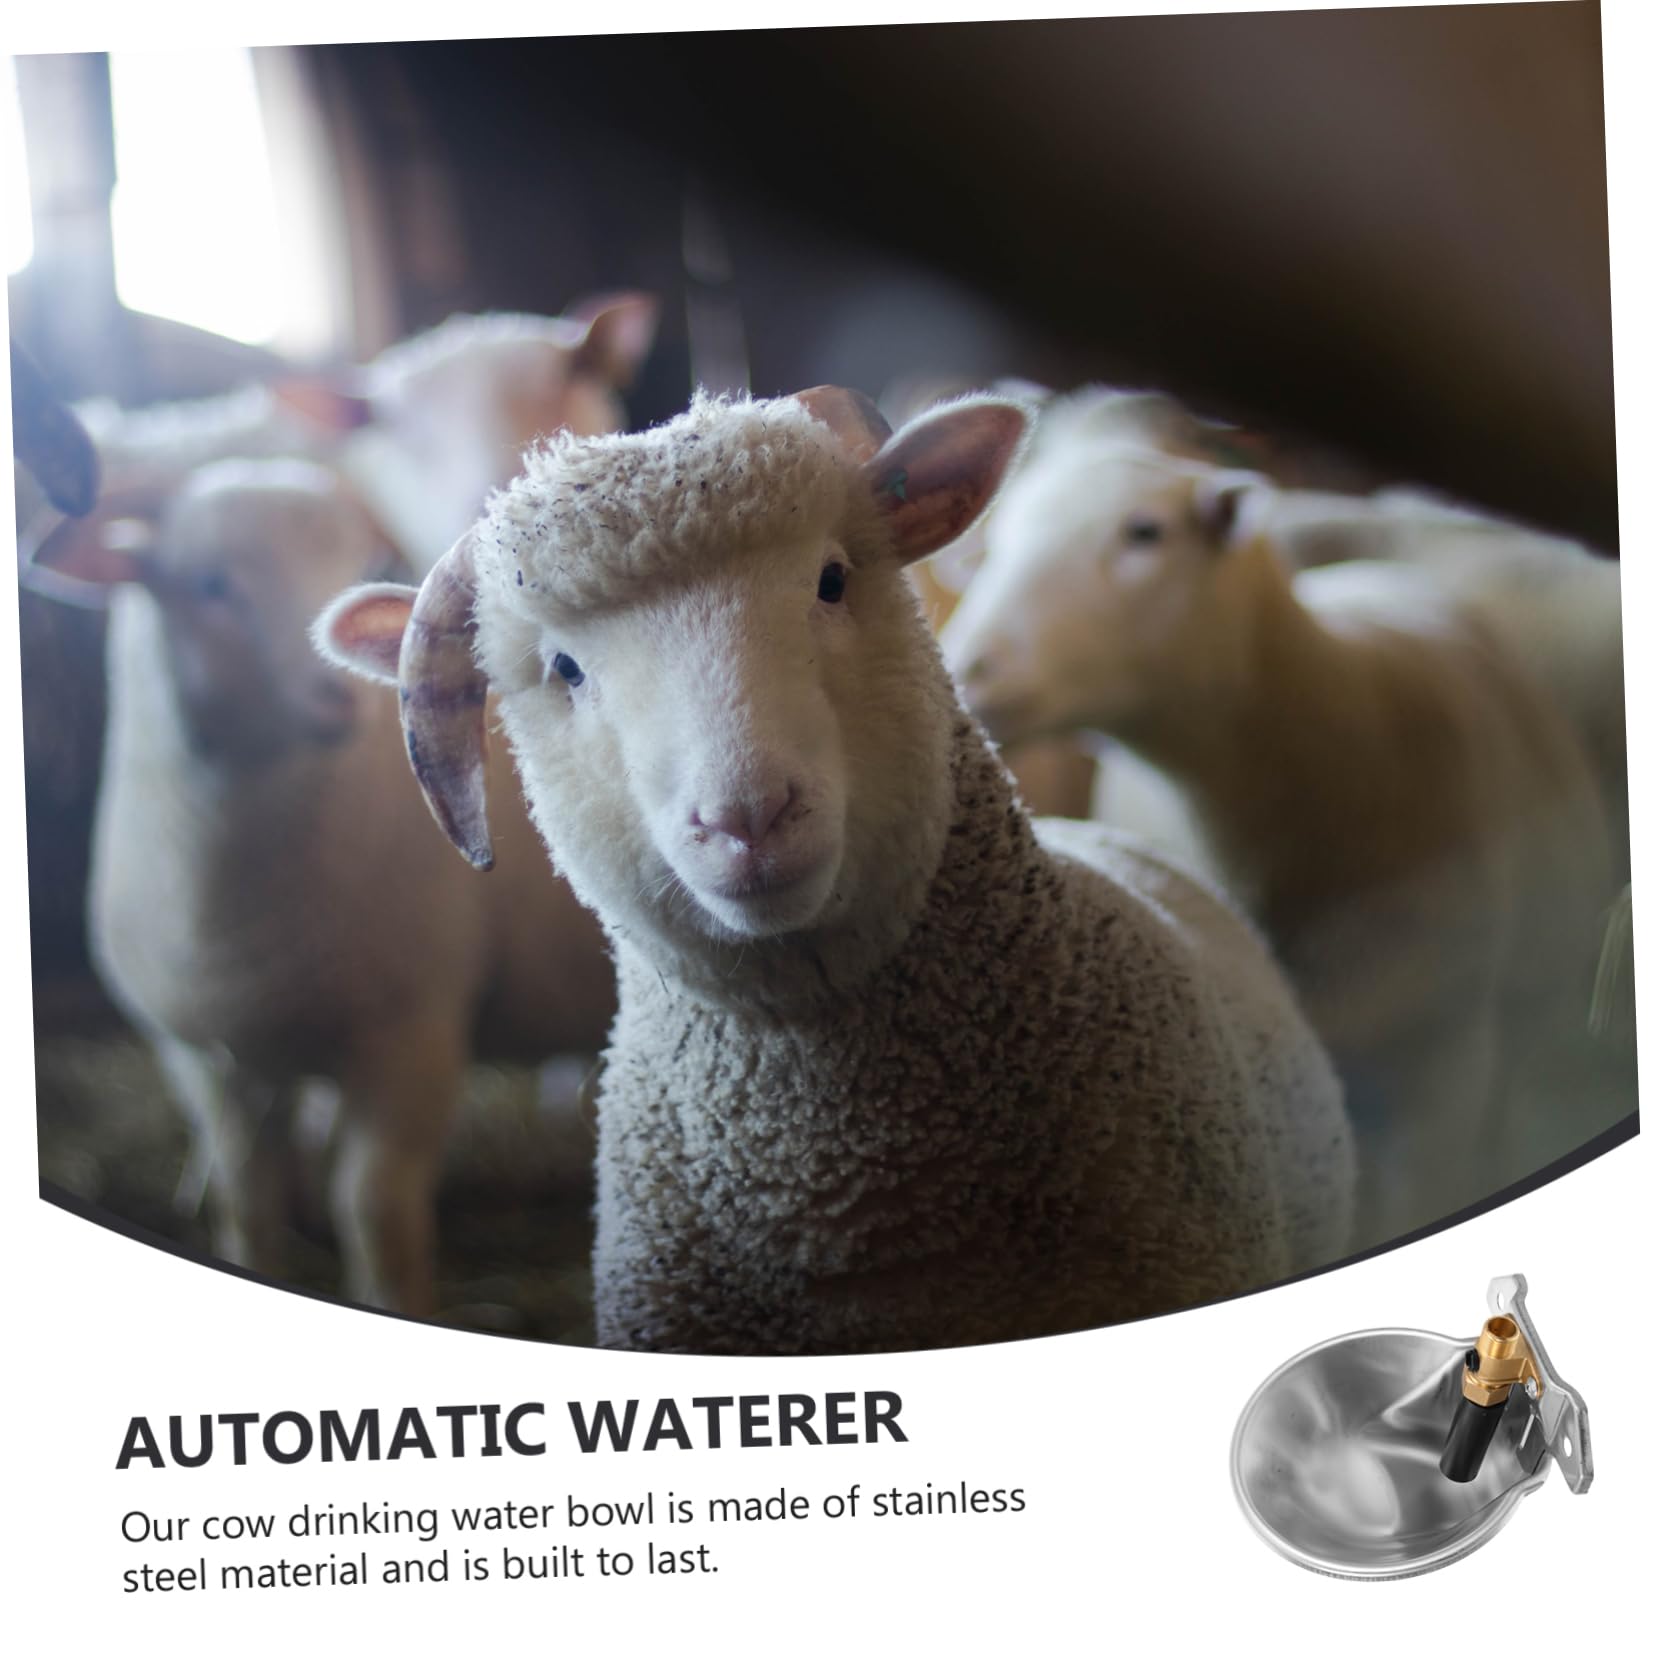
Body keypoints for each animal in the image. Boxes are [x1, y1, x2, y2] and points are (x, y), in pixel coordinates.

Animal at [31, 458, 616, 1315]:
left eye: (357, 564)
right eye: (211, 583)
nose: (335, 695)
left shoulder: (414, 1034)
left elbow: (372, 1208)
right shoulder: (207, 1060)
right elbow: (246, 1201)